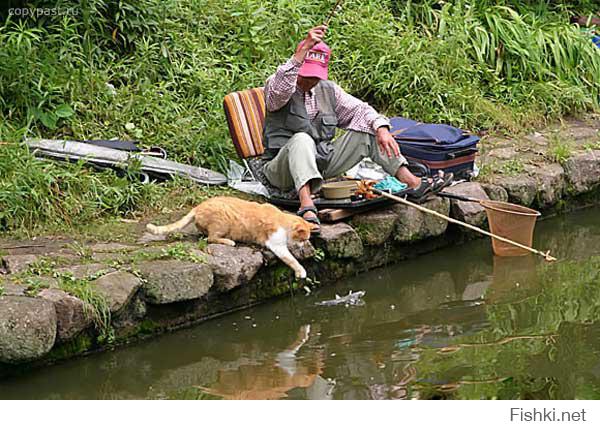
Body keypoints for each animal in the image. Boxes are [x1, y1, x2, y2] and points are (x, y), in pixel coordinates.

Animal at [146, 196, 314, 278]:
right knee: (210, 238)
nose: (303, 246)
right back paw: (229, 241)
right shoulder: (276, 244)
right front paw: (301, 271)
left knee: (205, 235)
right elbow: (291, 259)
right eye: (303, 240)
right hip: (223, 220)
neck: (282, 219)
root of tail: (198, 206)